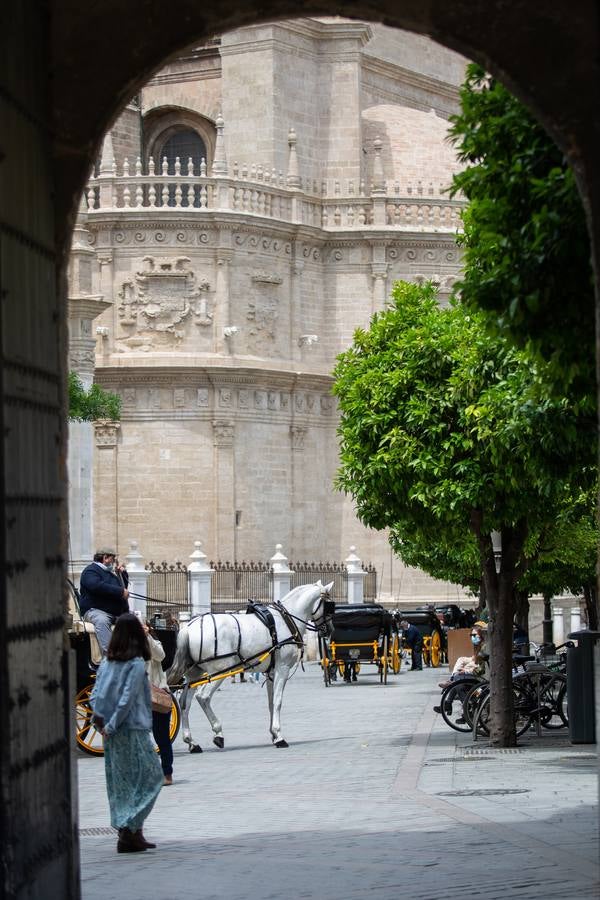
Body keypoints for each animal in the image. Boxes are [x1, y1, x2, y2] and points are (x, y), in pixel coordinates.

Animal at [168, 580, 332, 748]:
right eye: (329, 605)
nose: (329, 629)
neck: (286, 620)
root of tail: (189, 627)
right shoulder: (282, 669)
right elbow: (278, 701)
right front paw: (279, 736)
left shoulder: (271, 672)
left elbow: (271, 702)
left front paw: (274, 735)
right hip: (219, 670)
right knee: (203, 697)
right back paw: (218, 733)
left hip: (194, 674)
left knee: (184, 703)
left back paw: (191, 741)